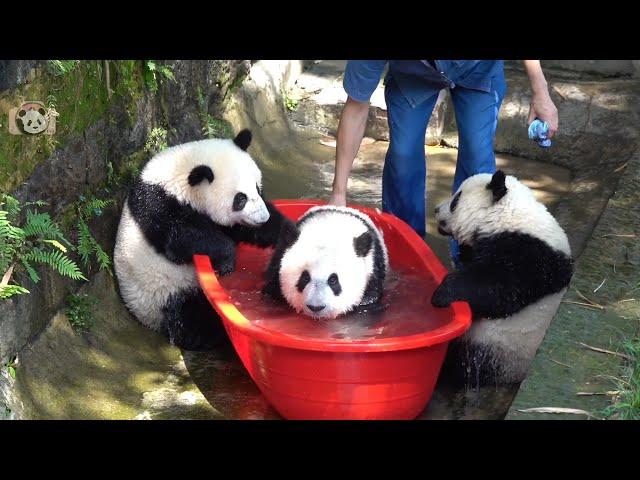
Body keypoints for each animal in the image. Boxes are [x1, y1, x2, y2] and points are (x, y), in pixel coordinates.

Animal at [113, 129, 288, 350]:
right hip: (164, 292)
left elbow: (242, 230)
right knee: (189, 318)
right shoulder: (161, 207)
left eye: (257, 188)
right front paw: (226, 261)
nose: (262, 217)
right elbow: (182, 239)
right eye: (240, 199)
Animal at [432, 170, 572, 386]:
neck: (507, 216)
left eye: (455, 200)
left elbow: (498, 292)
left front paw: (442, 293)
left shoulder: (529, 256)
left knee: (461, 365)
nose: (436, 210)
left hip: (495, 348)